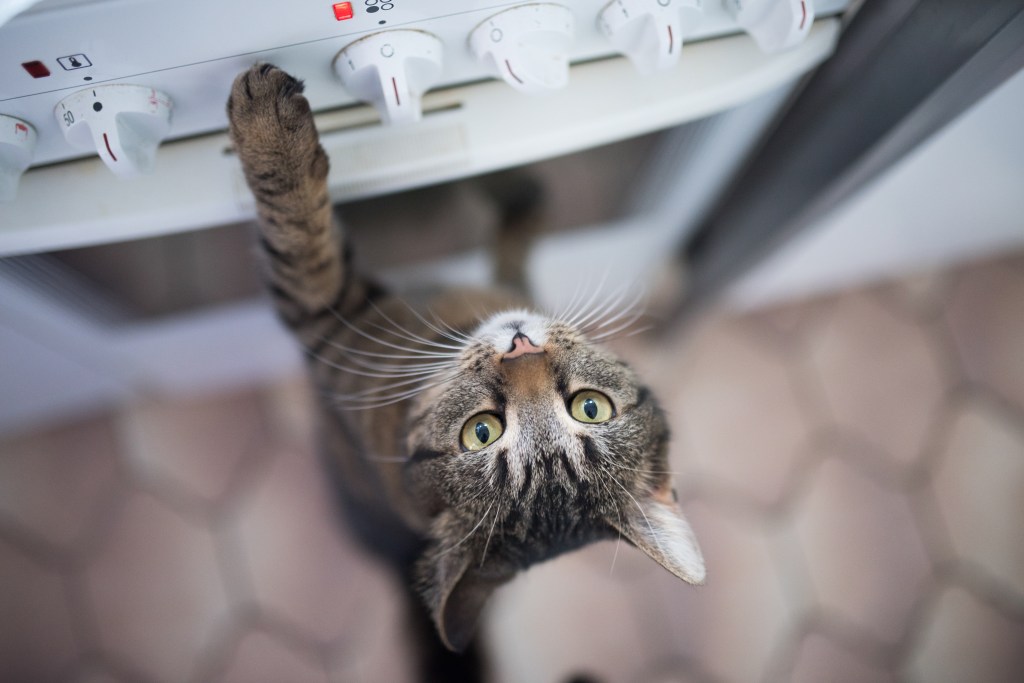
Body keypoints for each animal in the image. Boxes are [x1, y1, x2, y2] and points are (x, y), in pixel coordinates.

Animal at [226, 62, 704, 679]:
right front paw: (508, 169)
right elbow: (524, 222)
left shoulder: (327, 317)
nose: (520, 346)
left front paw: (267, 128)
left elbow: (298, 235)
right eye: (482, 431)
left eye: (589, 407)